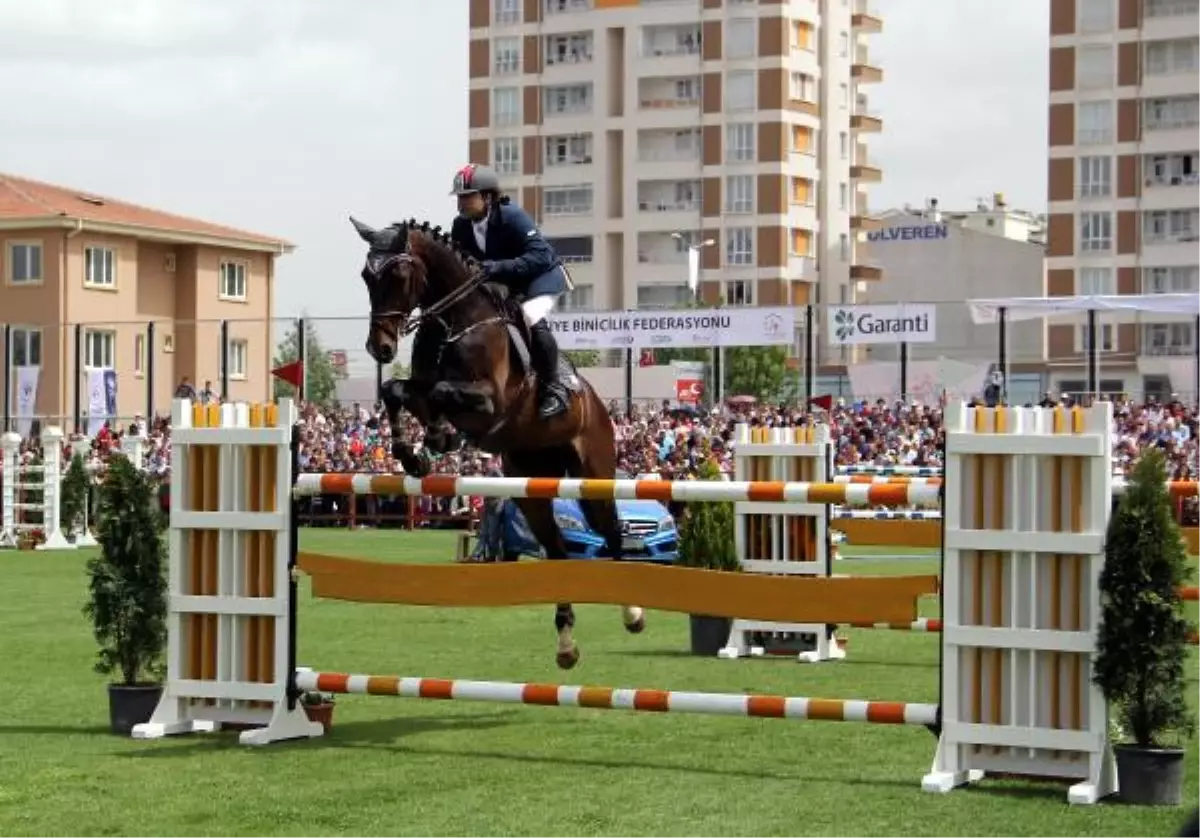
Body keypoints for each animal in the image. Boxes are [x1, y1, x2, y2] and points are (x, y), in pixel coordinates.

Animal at [350, 214, 648, 667]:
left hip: (595, 473)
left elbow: (441, 395)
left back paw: (632, 612)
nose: (379, 348)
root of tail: (598, 404)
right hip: (530, 484)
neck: (455, 320)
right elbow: (396, 391)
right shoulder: (421, 386)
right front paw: (414, 454)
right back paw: (566, 645)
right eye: (367, 276)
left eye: (398, 274)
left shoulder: (490, 402)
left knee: (612, 532)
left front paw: (438, 437)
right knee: (557, 549)